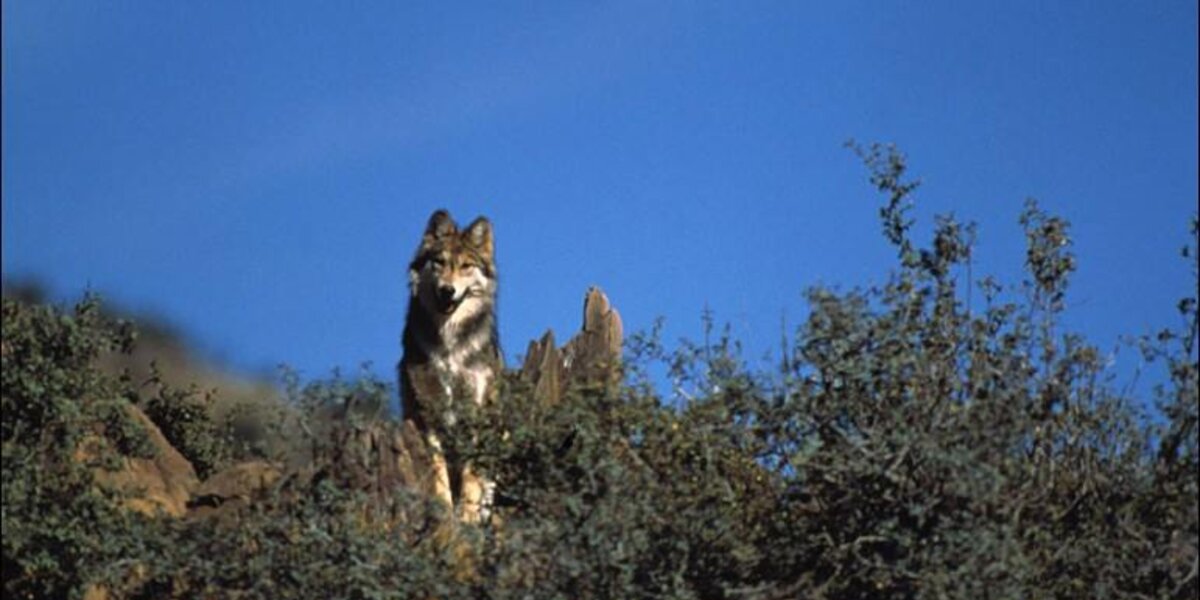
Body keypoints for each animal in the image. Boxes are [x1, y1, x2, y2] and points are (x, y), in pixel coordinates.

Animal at [400, 208, 499, 523]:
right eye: (440, 262)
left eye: (466, 266)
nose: (447, 290)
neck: (450, 344)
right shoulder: (428, 414)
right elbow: (436, 471)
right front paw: (444, 512)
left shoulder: (476, 412)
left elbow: (471, 475)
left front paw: (466, 516)